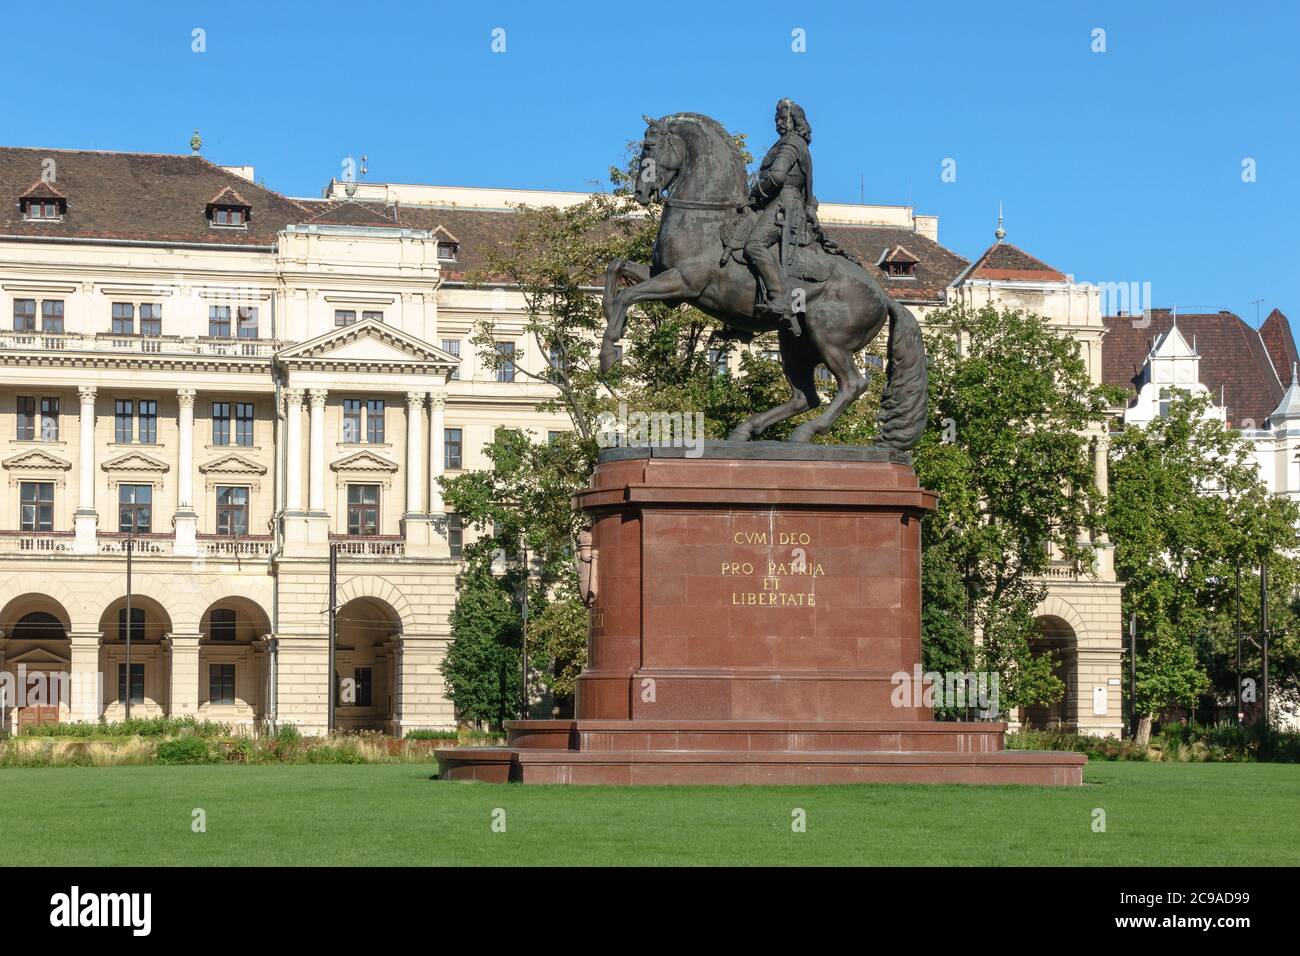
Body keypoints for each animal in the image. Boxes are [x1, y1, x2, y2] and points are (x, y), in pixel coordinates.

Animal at [598, 111, 925, 447]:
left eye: (650, 146)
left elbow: (628, 295)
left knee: (852, 385)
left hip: (829, 341)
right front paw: (610, 317)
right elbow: (616, 267)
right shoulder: (664, 278)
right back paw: (747, 430)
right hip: (794, 344)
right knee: (805, 396)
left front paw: (608, 354)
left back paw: (804, 431)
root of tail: (885, 297)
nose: (641, 193)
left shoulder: (683, 282)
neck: (706, 218)